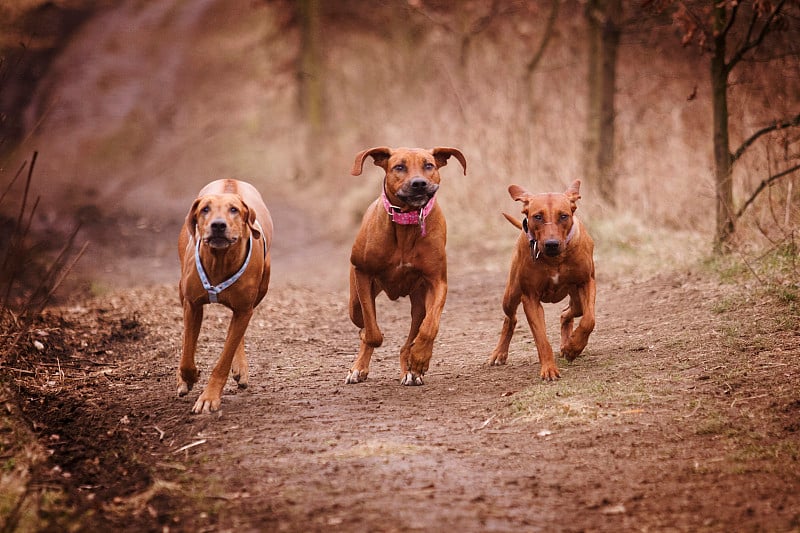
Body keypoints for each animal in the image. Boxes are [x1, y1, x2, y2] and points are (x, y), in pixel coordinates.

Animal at [177, 178, 274, 412]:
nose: (218, 225)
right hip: (182, 290)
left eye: (234, 210)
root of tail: (232, 180)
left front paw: (209, 398)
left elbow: (225, 358)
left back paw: (240, 367)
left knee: (237, 332)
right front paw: (189, 377)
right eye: (205, 209)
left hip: (260, 290)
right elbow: (187, 353)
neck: (219, 261)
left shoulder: (244, 309)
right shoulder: (192, 305)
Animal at [346, 148, 468, 384]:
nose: (419, 183)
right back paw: (359, 367)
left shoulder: (437, 282)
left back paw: (410, 368)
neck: (407, 222)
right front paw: (369, 343)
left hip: (419, 302)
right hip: (354, 303)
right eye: (399, 167)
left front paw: (420, 358)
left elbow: (430, 327)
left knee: (411, 336)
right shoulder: (363, 273)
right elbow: (372, 332)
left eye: (429, 165)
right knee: (362, 321)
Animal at [488, 181, 592, 380]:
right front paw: (549, 369)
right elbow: (541, 339)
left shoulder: (587, 283)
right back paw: (499, 353)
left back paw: (567, 343)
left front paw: (573, 348)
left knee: (568, 312)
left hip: (576, 298)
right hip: (510, 295)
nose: (551, 244)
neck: (555, 259)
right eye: (537, 216)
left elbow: (589, 320)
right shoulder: (530, 298)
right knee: (510, 319)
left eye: (563, 216)